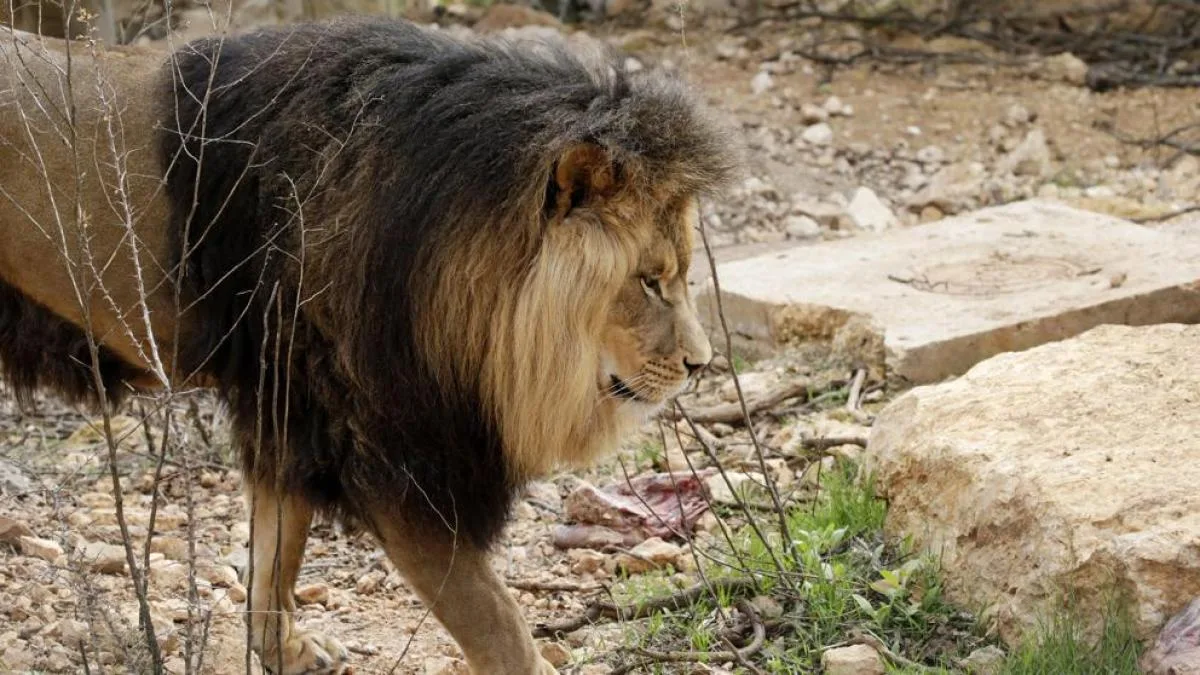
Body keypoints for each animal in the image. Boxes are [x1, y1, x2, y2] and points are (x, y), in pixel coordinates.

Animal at [0, 17, 734, 674]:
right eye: (649, 280)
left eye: (680, 273)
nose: (700, 364)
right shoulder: (383, 449)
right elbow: (494, 619)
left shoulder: (289, 412)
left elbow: (275, 555)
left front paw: (286, 651)